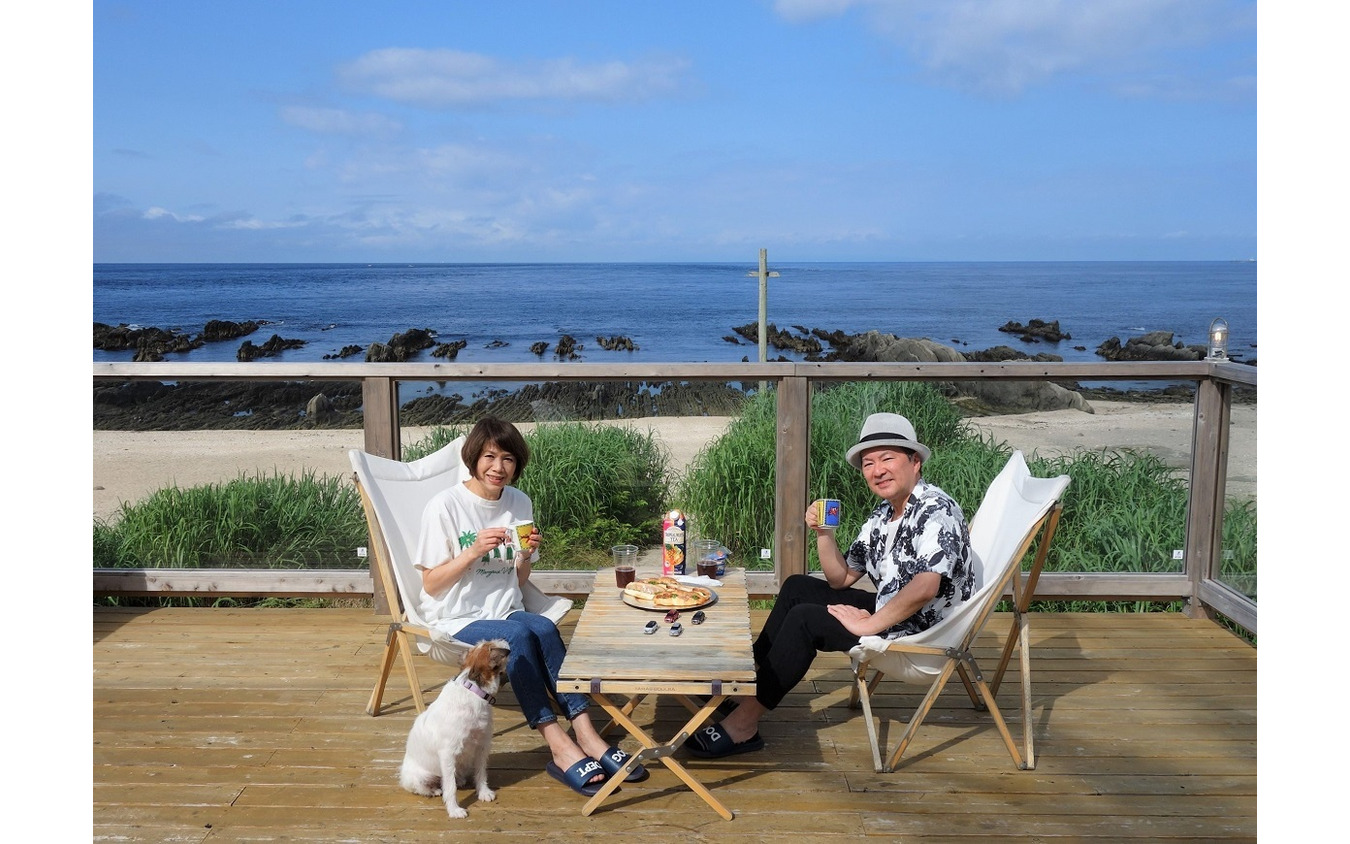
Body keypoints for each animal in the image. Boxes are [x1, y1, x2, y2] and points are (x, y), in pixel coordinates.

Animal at [399, 637, 510, 815]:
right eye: (491, 645)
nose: (504, 640)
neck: (473, 690)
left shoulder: (482, 745)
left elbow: (481, 773)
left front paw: (483, 792)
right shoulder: (448, 754)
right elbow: (450, 787)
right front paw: (454, 809)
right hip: (420, 777)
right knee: (428, 786)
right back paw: (435, 790)